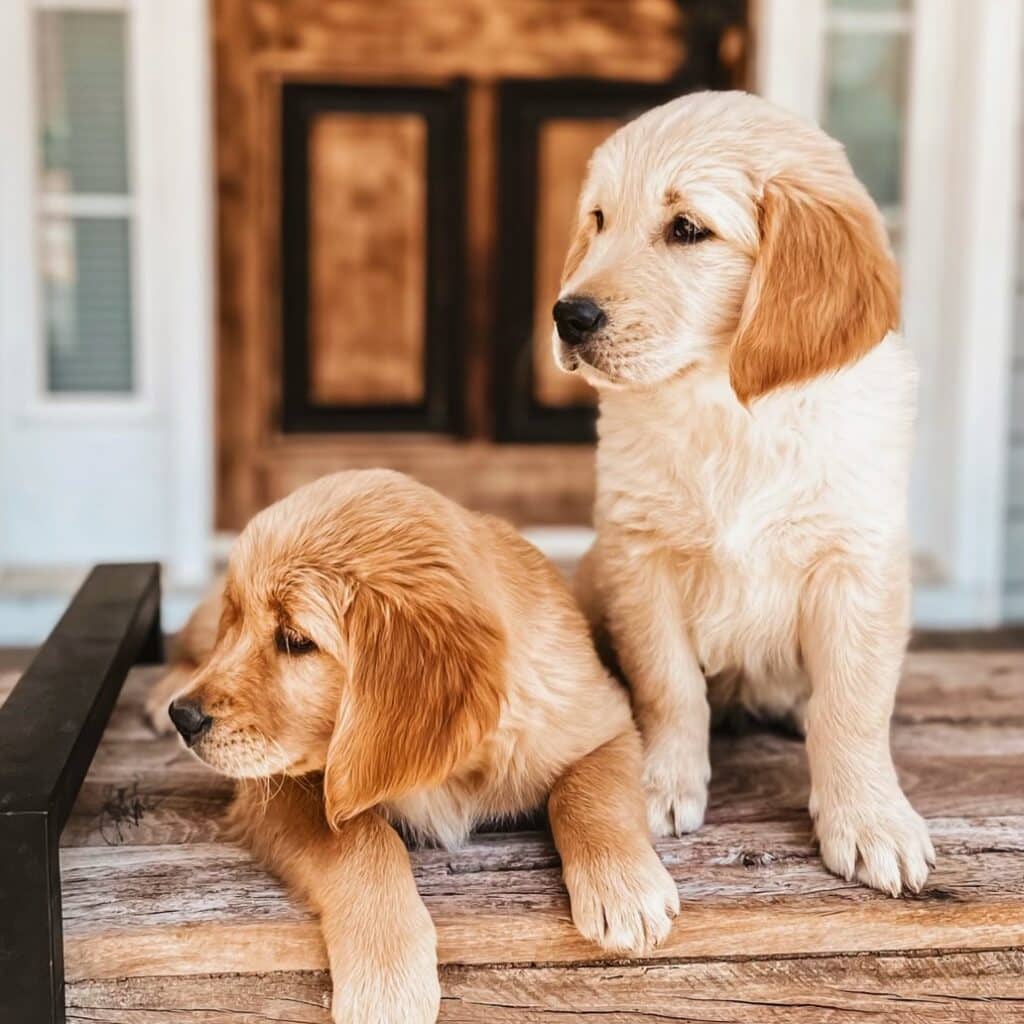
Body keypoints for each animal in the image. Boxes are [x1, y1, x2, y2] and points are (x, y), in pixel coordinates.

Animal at [159, 471, 675, 1024]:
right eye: (238, 621)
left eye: (295, 639)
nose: (184, 716)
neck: (453, 770)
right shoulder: (275, 787)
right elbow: (360, 840)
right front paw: (386, 980)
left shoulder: (602, 718)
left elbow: (589, 789)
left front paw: (625, 887)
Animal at [561, 90, 937, 897]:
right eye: (599, 219)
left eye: (687, 229)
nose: (566, 316)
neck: (729, 409)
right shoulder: (640, 555)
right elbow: (668, 683)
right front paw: (661, 783)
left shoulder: (858, 560)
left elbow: (854, 703)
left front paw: (869, 818)